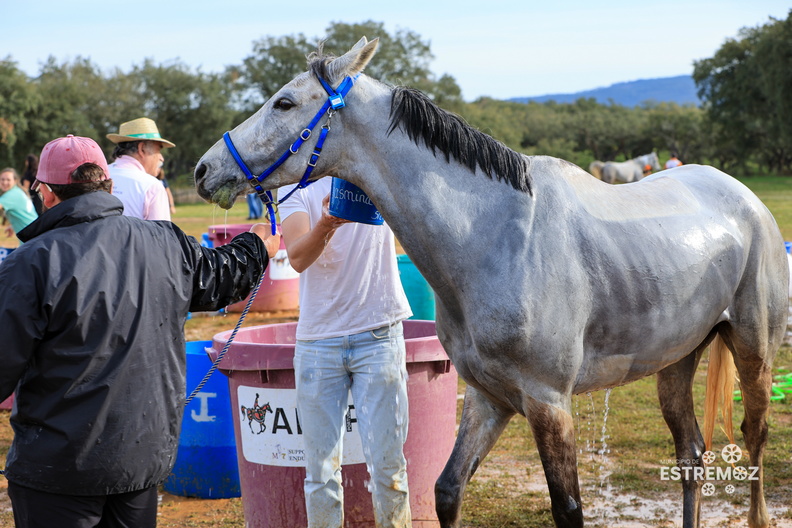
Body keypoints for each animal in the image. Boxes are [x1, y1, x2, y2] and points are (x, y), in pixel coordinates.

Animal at [193, 37, 784, 528]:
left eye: (285, 103)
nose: (204, 169)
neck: (495, 237)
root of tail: (745, 199)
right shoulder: (488, 396)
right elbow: (448, 491)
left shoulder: (549, 404)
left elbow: (568, 510)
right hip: (675, 361)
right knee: (691, 455)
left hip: (753, 353)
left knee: (755, 437)